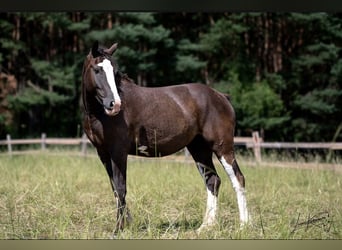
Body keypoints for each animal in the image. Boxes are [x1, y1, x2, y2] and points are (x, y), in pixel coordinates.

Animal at [82, 42, 250, 233]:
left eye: (115, 71)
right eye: (97, 69)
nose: (115, 104)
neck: (99, 115)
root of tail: (221, 96)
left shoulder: (118, 152)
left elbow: (121, 187)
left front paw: (119, 229)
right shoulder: (103, 153)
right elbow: (115, 189)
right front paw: (127, 224)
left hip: (223, 147)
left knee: (238, 179)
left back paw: (244, 225)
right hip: (199, 149)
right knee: (213, 181)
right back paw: (206, 226)